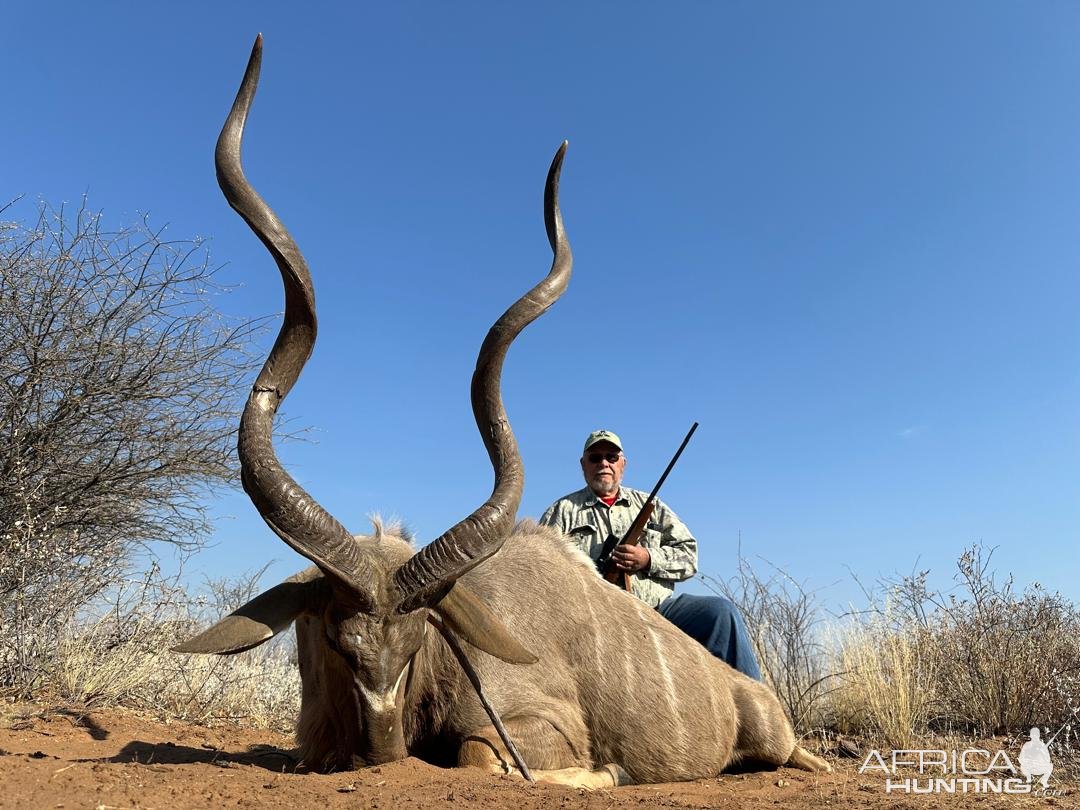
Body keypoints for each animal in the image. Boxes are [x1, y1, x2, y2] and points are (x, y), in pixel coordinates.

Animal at [179, 34, 833, 790]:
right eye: (342, 644)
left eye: (417, 642)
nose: (382, 752)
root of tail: (745, 690)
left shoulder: (539, 723)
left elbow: (486, 758)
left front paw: (604, 774)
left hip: (773, 736)